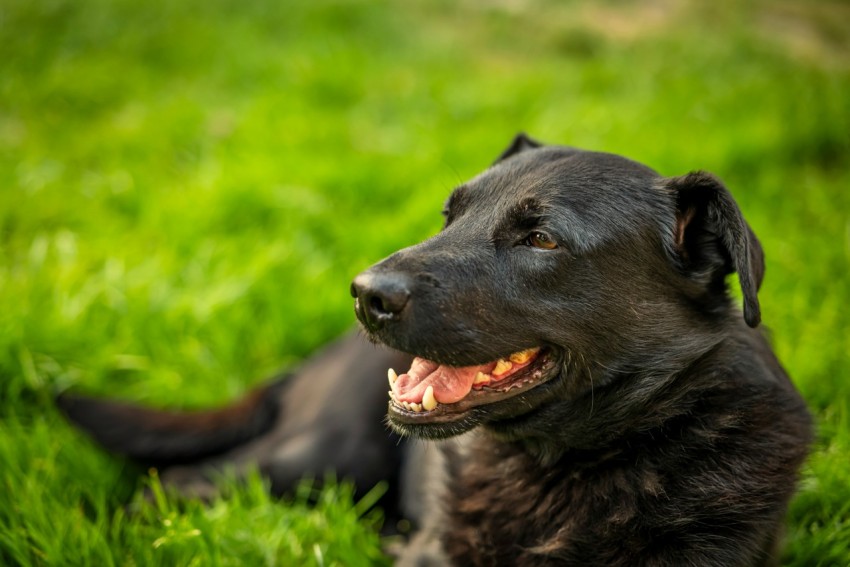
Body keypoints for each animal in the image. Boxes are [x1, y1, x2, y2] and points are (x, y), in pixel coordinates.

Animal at [58, 135, 808, 564]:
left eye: (542, 239)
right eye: (450, 214)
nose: (364, 293)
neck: (558, 470)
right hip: (321, 457)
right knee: (177, 483)